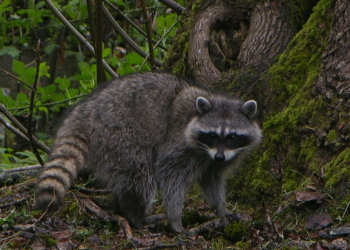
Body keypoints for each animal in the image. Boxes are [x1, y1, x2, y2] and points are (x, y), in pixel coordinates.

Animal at [34, 72, 262, 232]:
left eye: (232, 137)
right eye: (213, 135)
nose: (220, 156)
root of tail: (84, 111)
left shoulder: (219, 158)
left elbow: (212, 180)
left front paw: (220, 209)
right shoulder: (178, 141)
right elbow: (169, 174)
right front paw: (175, 217)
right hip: (119, 131)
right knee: (139, 175)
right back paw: (135, 216)